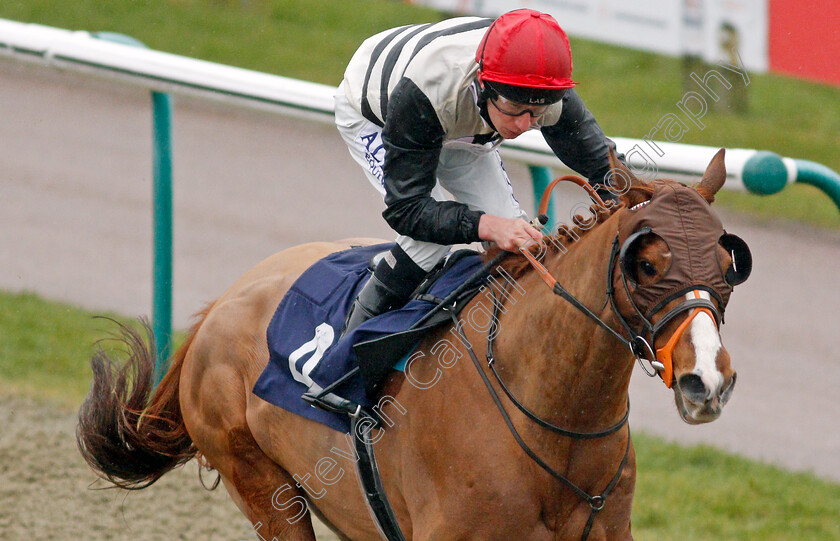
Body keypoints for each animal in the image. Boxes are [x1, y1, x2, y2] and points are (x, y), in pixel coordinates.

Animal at [80, 150, 748, 536]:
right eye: (647, 263)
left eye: (728, 262)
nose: (707, 382)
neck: (552, 417)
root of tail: (220, 306)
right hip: (265, 487)